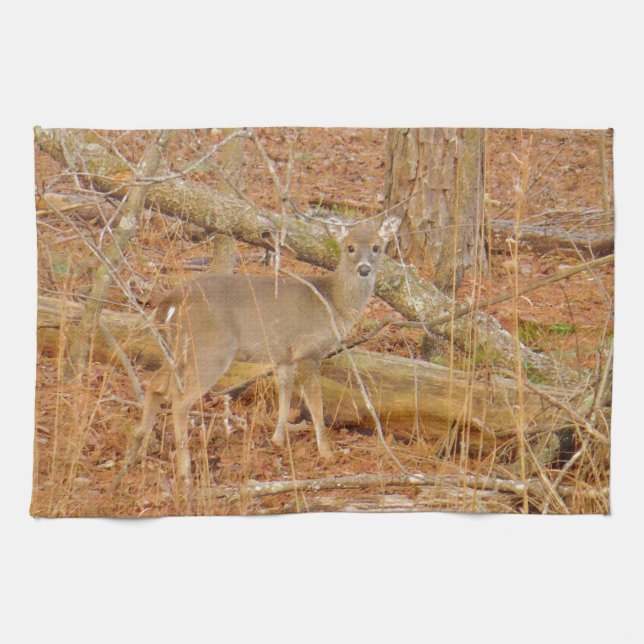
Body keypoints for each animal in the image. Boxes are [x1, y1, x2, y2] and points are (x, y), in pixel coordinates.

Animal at [113, 215, 401, 490]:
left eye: (377, 247)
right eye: (349, 247)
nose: (364, 269)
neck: (334, 304)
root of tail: (172, 299)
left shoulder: (285, 356)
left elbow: (285, 391)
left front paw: (277, 439)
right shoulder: (309, 350)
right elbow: (315, 403)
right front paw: (326, 452)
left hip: (178, 350)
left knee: (155, 384)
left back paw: (135, 452)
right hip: (211, 349)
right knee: (179, 400)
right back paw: (185, 473)